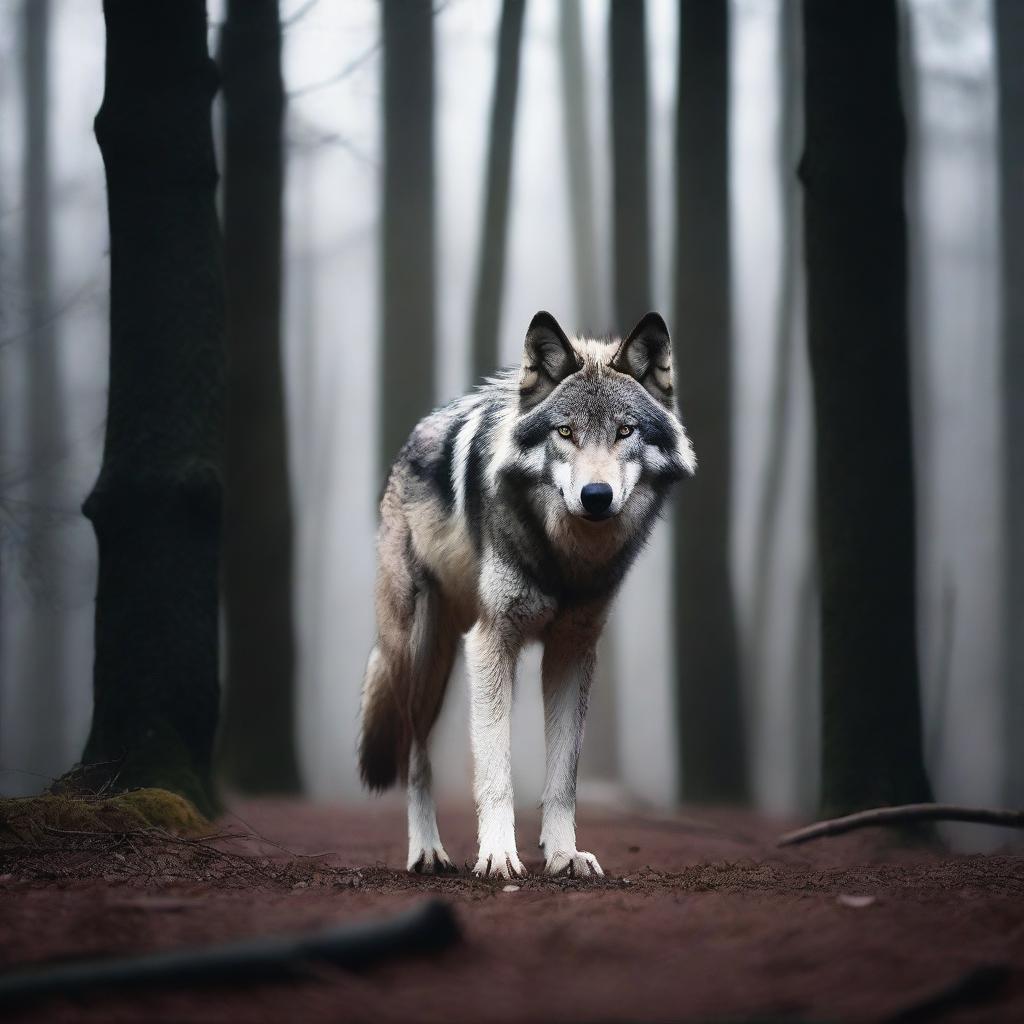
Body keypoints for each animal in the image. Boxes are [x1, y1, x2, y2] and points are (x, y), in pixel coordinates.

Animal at [354, 307, 696, 876]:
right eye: (566, 432)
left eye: (625, 431)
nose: (596, 496)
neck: (566, 562)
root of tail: (413, 438)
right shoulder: (492, 642)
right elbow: (496, 774)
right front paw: (497, 855)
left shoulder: (572, 652)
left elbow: (562, 779)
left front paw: (563, 855)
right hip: (418, 657)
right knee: (416, 760)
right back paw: (427, 851)